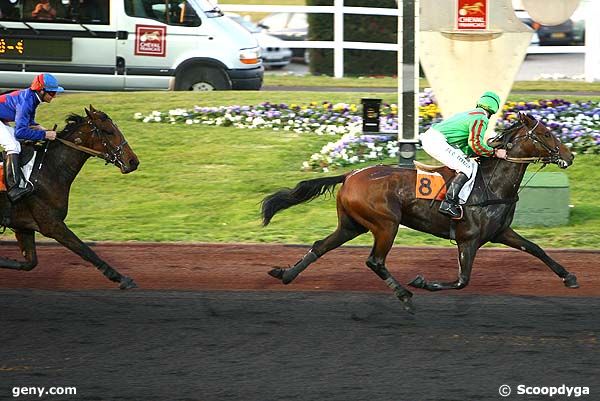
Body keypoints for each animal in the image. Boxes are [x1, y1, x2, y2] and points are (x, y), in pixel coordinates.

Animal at [0, 104, 139, 290]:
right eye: (108, 131)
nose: (133, 161)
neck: (47, 170)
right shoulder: (53, 225)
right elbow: (86, 251)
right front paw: (122, 278)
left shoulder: (24, 227)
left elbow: (30, 263)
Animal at [262, 111, 576, 312]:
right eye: (546, 133)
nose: (570, 156)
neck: (491, 184)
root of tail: (351, 174)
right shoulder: (468, 240)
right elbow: (462, 281)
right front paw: (423, 281)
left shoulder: (501, 232)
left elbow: (535, 248)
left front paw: (569, 277)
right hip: (386, 224)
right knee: (375, 261)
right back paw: (405, 294)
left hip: (352, 225)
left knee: (320, 246)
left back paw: (286, 275)